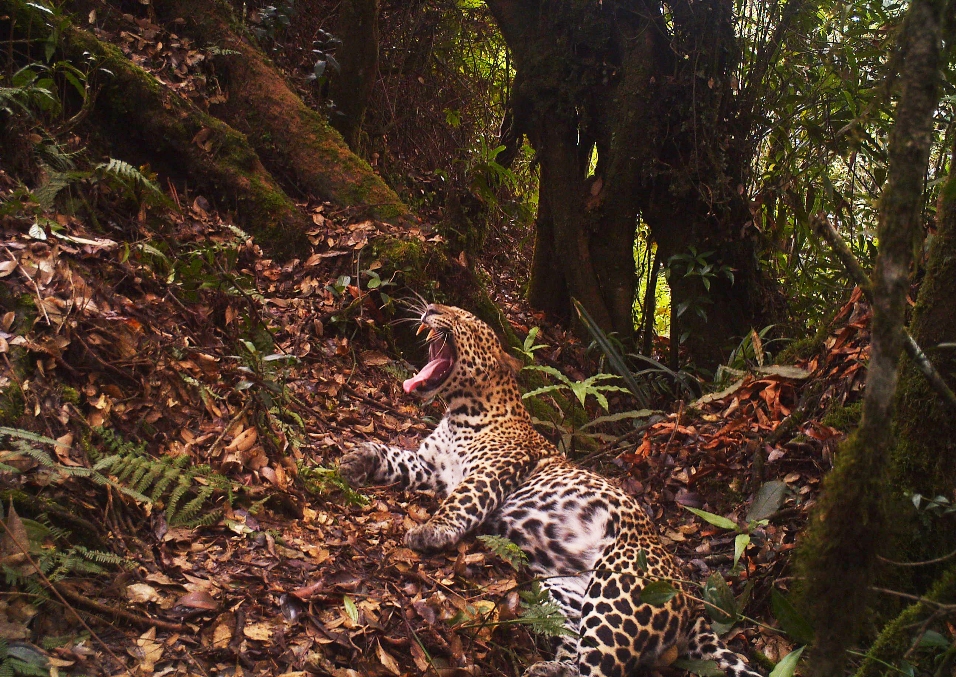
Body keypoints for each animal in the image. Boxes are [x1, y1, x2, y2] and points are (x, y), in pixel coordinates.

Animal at [338, 304, 763, 677]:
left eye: (462, 316)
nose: (429, 310)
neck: (460, 411)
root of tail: (690, 599)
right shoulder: (430, 468)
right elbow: (393, 455)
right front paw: (356, 459)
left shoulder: (491, 472)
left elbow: (460, 502)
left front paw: (429, 531)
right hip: (562, 591)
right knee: (576, 646)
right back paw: (550, 667)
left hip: (623, 589)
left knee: (603, 668)